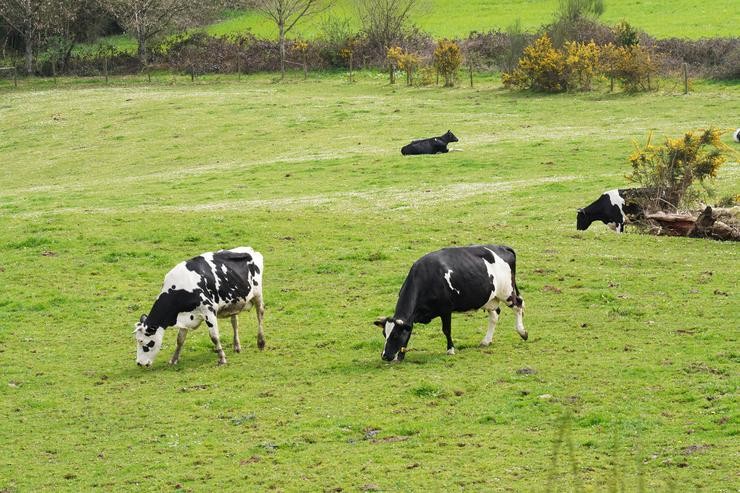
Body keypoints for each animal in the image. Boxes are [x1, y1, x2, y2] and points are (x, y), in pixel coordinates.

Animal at [134, 246, 264, 366]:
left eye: (142, 342)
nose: (139, 363)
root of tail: (250, 250)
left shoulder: (208, 311)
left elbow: (214, 337)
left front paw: (222, 358)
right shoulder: (185, 317)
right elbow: (180, 339)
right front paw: (174, 359)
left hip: (257, 294)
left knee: (260, 315)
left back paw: (261, 342)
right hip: (234, 302)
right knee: (235, 323)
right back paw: (237, 346)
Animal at [376, 243, 528, 362]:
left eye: (395, 335)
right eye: (384, 334)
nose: (385, 356)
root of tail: (501, 247)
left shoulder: (446, 309)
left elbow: (446, 330)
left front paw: (450, 350)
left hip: (507, 292)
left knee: (518, 305)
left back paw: (522, 332)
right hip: (490, 297)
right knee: (495, 315)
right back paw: (486, 341)